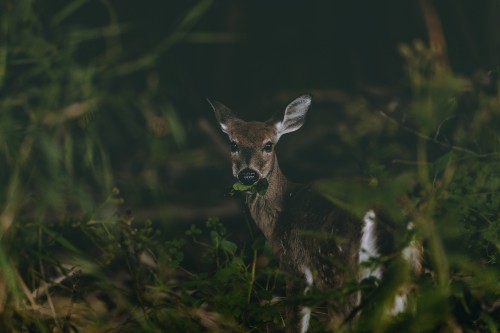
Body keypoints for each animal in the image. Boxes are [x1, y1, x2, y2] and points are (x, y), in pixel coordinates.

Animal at [208, 94, 422, 332]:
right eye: (233, 144)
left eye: (268, 145)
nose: (248, 175)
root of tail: (382, 208)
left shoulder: (293, 261)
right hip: (412, 264)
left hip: (337, 264)